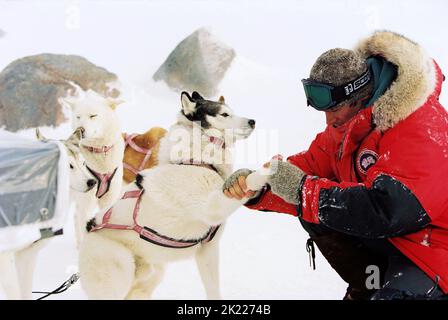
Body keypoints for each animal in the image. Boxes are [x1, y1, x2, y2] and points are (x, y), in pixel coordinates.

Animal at [78, 92, 256, 300]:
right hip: (118, 271)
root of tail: (87, 233)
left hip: (149, 277)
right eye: (224, 114)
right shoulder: (212, 206)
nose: (253, 121)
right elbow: (248, 181)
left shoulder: (208, 249)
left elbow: (213, 290)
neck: (196, 161)